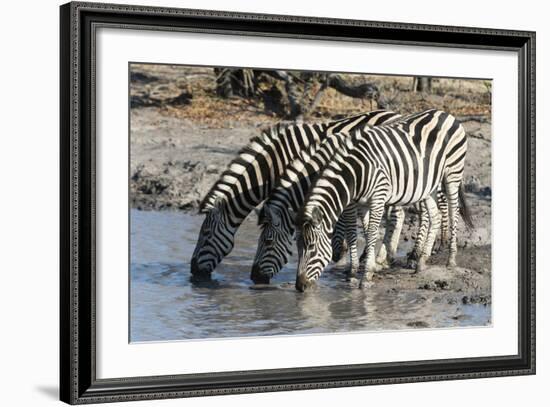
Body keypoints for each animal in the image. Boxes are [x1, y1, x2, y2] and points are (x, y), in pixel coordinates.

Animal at [191, 110, 402, 278]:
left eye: (206, 233)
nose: (193, 271)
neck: (274, 164)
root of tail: (394, 113)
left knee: (396, 213)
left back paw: (383, 256)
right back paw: (384, 255)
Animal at [298, 108, 474, 294]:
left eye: (312, 248)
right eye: (297, 247)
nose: (299, 286)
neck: (356, 172)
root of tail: (445, 113)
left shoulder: (378, 197)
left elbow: (372, 232)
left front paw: (366, 275)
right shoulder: (360, 202)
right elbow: (357, 232)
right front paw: (358, 269)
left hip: (453, 172)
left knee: (453, 211)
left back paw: (451, 259)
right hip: (429, 184)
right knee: (435, 215)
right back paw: (421, 261)